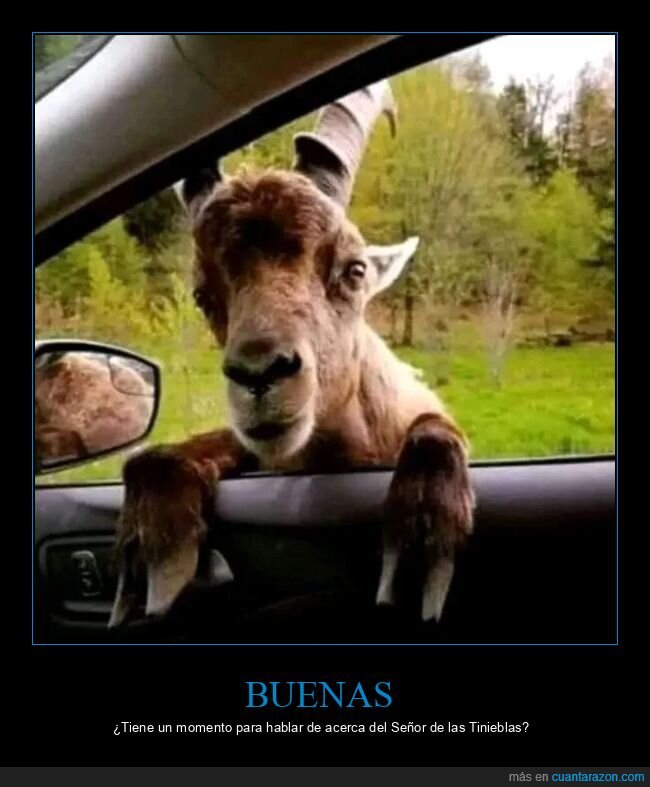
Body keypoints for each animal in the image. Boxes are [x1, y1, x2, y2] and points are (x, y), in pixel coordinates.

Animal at [109, 80, 475, 629]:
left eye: (354, 269)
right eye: (202, 294)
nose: (260, 374)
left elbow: (433, 431)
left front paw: (420, 542)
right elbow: (160, 455)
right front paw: (148, 553)